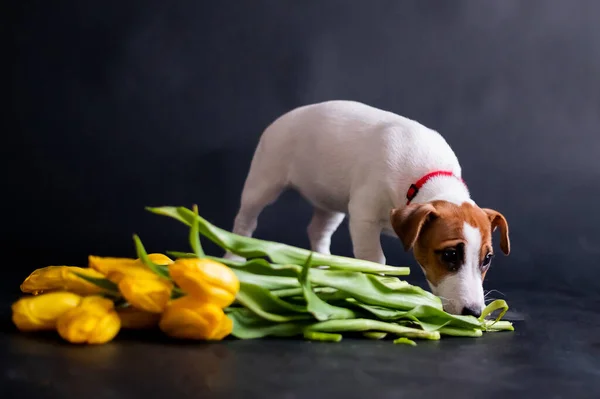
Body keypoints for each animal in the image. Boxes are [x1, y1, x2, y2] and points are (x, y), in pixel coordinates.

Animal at [227, 101, 508, 318]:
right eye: (450, 254)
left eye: (487, 259)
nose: (474, 312)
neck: (430, 180)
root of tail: (283, 119)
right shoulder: (364, 217)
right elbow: (374, 258)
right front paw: (380, 287)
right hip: (264, 181)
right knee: (245, 221)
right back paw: (235, 257)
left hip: (330, 202)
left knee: (317, 230)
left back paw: (325, 267)